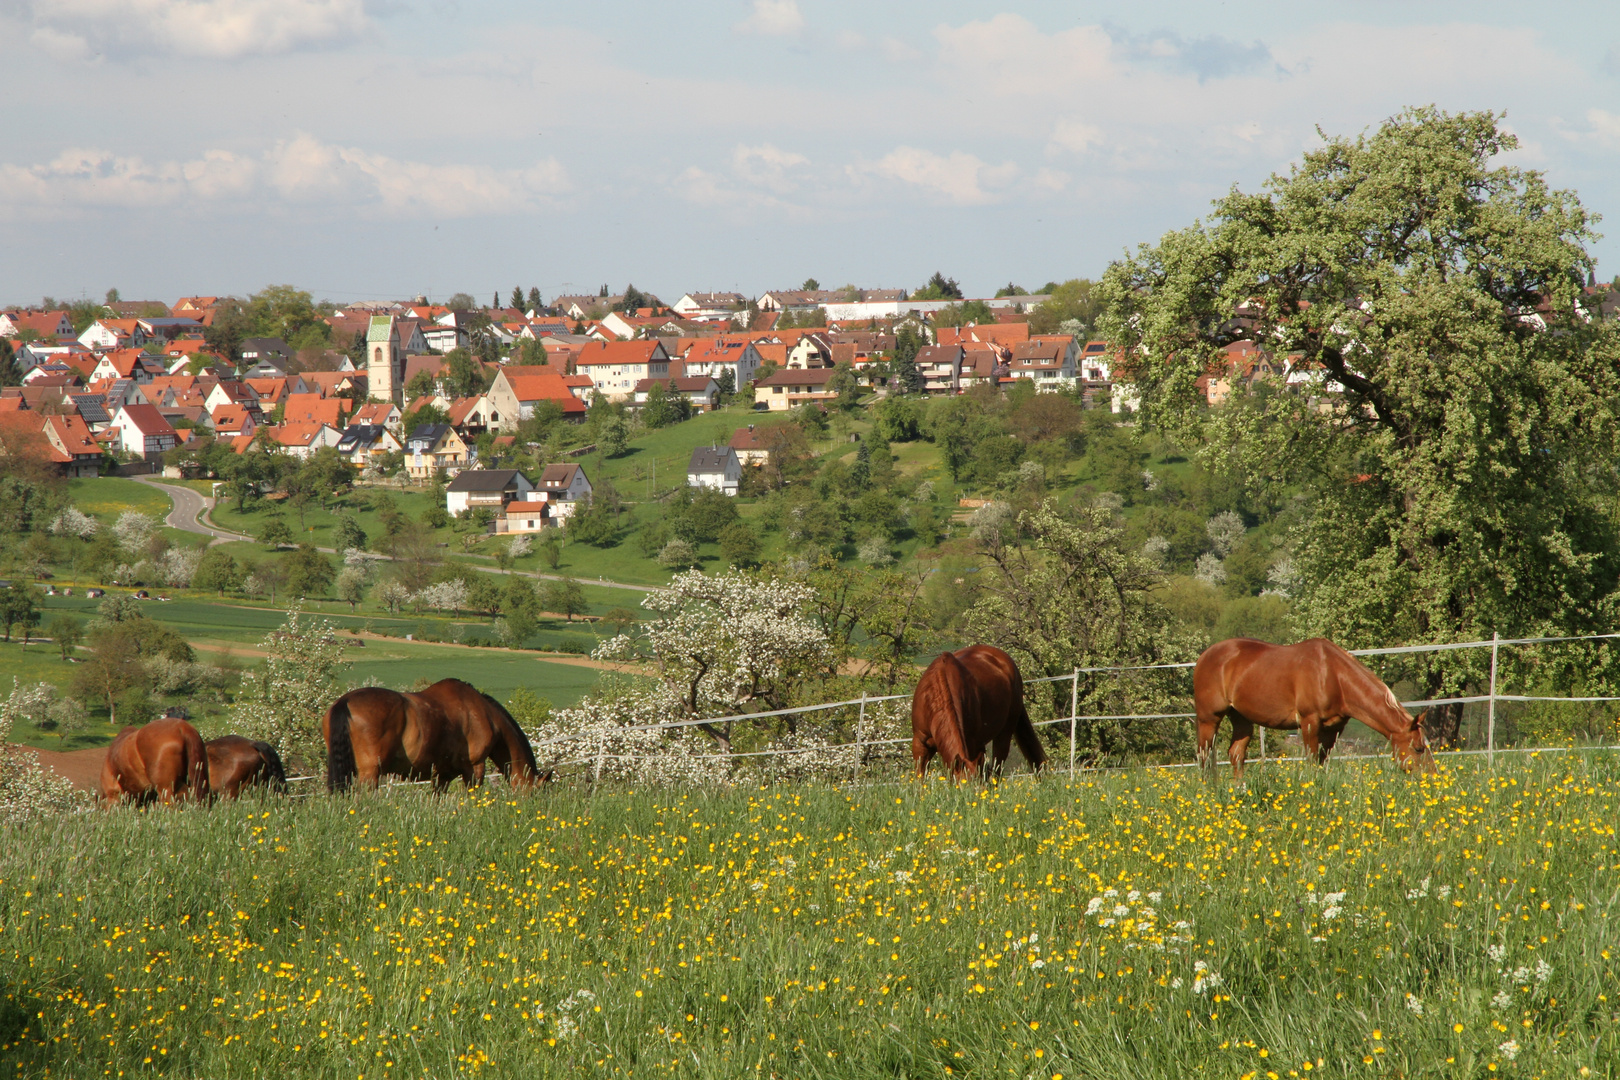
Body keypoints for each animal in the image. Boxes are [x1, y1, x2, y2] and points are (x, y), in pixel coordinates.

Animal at [325, 680, 547, 799]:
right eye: (536, 794)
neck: (485, 714)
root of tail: (345, 702)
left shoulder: (442, 775)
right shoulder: (475, 768)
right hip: (369, 773)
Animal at [1192, 637, 1432, 780]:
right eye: (1419, 748)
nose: (1432, 778)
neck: (1332, 675)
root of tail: (1204, 656)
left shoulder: (1333, 729)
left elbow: (1321, 761)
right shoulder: (1309, 722)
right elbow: (1311, 760)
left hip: (1241, 719)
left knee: (1236, 755)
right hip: (1209, 719)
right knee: (1204, 757)